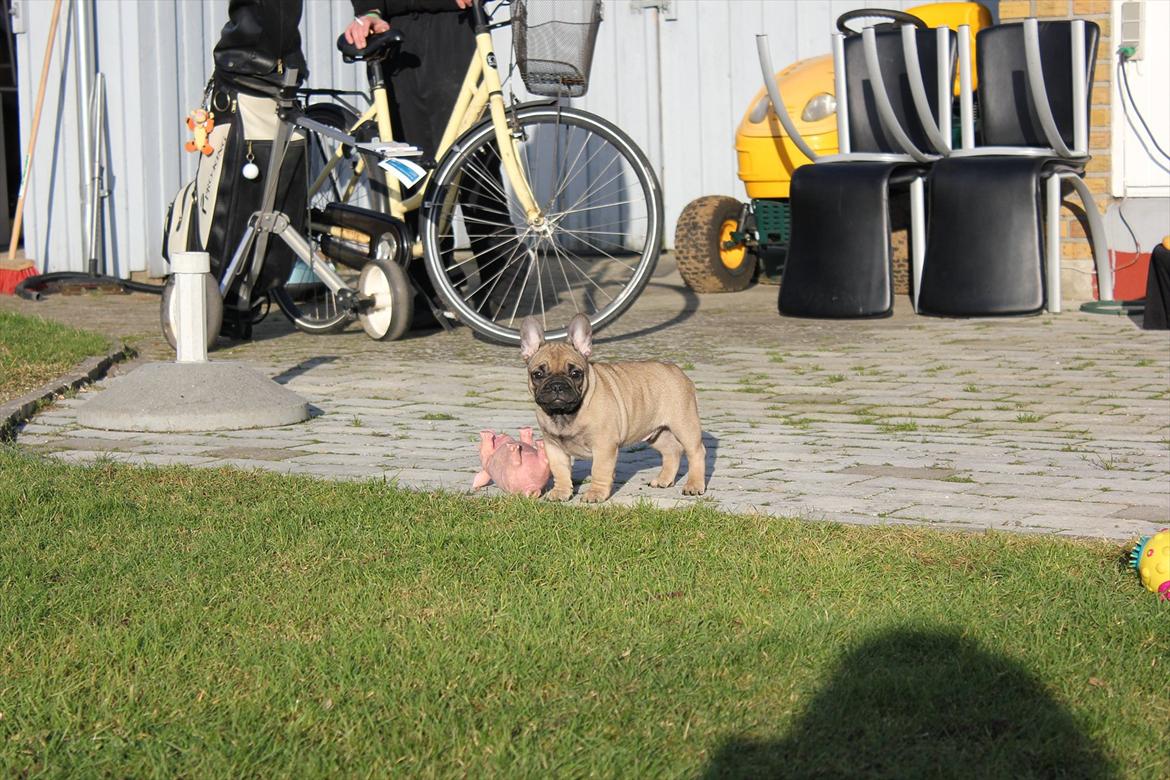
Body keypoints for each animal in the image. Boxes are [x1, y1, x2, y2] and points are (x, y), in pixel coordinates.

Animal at [521, 313, 702, 502]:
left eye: (576, 373)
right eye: (537, 374)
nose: (557, 385)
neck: (564, 414)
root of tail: (676, 370)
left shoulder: (604, 446)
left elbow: (599, 470)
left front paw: (595, 493)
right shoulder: (554, 446)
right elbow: (560, 470)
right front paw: (561, 492)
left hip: (684, 425)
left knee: (696, 452)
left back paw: (694, 485)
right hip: (657, 432)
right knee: (672, 451)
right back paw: (664, 480)